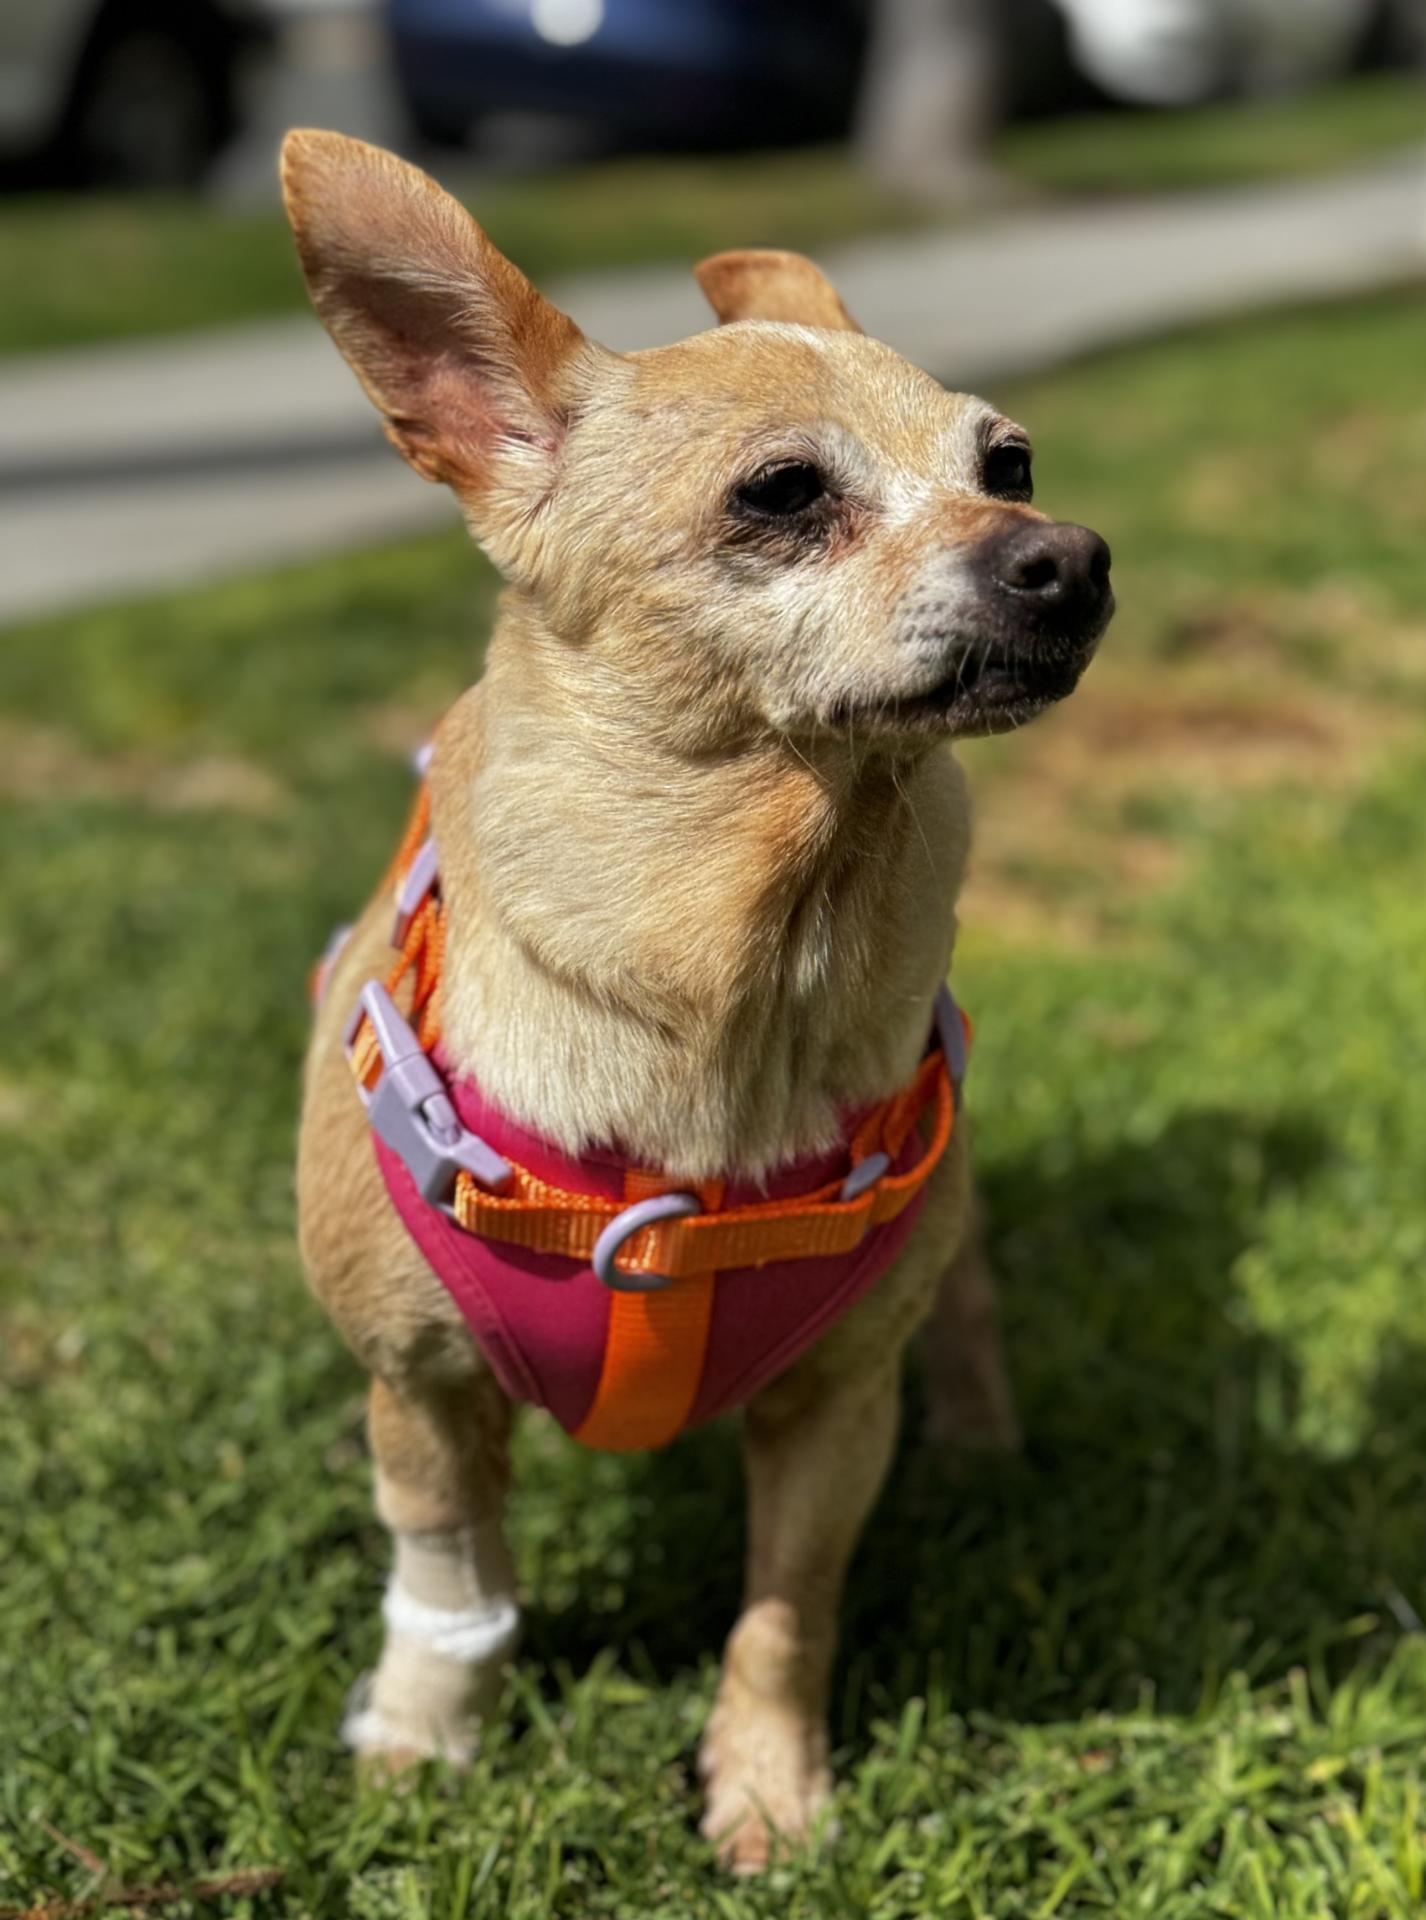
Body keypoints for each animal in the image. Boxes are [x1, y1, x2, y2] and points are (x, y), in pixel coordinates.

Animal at [287, 127, 1113, 1866]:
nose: (1071, 556)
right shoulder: (422, 1397)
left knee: (966, 1302)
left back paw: (984, 1442)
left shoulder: (834, 1413)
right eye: (783, 494)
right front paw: (422, 1737)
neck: (743, 972)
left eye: (1007, 464)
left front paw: (768, 1791)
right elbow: (448, 1577)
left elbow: (784, 1610)